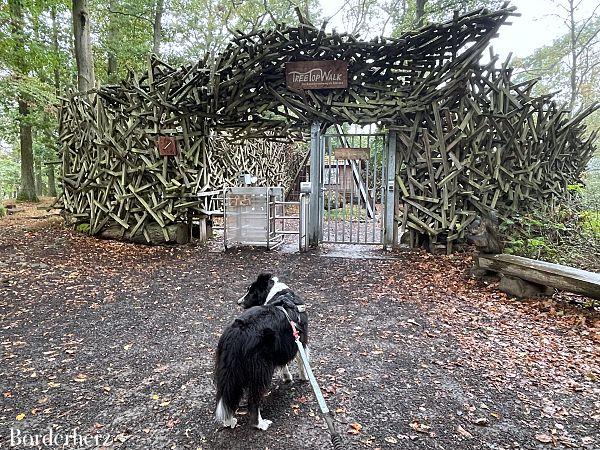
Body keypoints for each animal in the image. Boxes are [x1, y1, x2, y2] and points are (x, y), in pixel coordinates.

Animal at [214, 272, 310, 430]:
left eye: (251, 291)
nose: (239, 302)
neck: (279, 293)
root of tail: (237, 334)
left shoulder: (280, 346)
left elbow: (284, 364)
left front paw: (287, 377)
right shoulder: (299, 340)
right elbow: (302, 361)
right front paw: (305, 377)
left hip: (228, 371)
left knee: (228, 395)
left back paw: (229, 421)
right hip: (260, 371)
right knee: (254, 401)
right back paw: (260, 423)